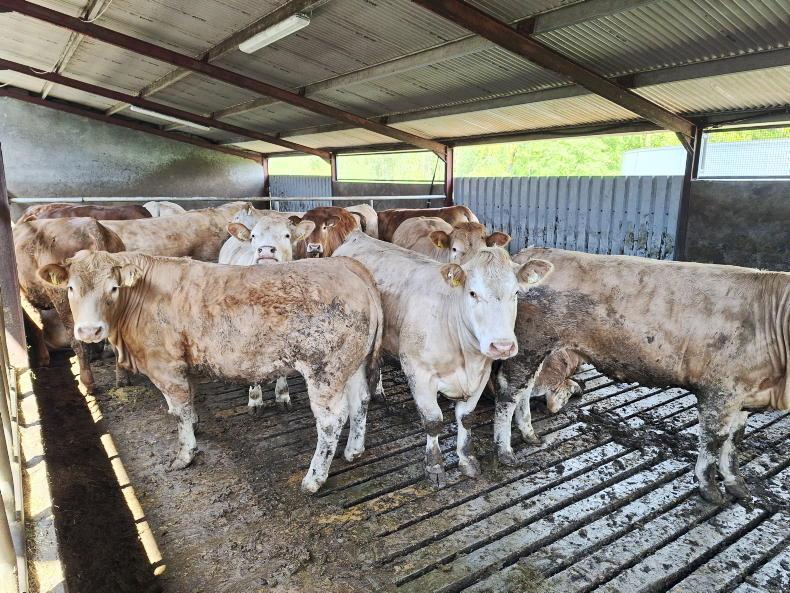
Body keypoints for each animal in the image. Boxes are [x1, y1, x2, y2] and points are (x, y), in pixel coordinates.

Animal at [14, 217, 126, 392]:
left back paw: (87, 382)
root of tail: (91, 226)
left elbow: (35, 324)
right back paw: (122, 379)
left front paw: (42, 359)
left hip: (65, 302)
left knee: (77, 340)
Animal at [38, 250, 384, 493]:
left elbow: (178, 411)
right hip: (351, 365)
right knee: (360, 402)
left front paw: (185, 454)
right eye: (71, 288)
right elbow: (189, 403)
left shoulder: (165, 366)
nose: (89, 331)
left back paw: (314, 479)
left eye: (112, 287)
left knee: (331, 420)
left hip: (324, 369)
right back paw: (353, 451)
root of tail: (346, 265)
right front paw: (195, 426)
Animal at [334, 231, 552, 485]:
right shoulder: (418, 372)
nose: (502, 346)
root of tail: (357, 236)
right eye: (472, 293)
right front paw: (435, 466)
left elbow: (466, 418)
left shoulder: (482, 373)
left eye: (516, 292)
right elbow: (433, 421)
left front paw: (467, 459)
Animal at [494, 247, 790, 506]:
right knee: (508, 395)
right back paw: (505, 452)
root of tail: (529, 254)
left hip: (539, 349)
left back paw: (530, 435)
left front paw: (737, 485)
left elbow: (735, 441)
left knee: (526, 389)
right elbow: (713, 441)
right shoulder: (720, 390)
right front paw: (710, 491)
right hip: (528, 344)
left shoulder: (745, 395)